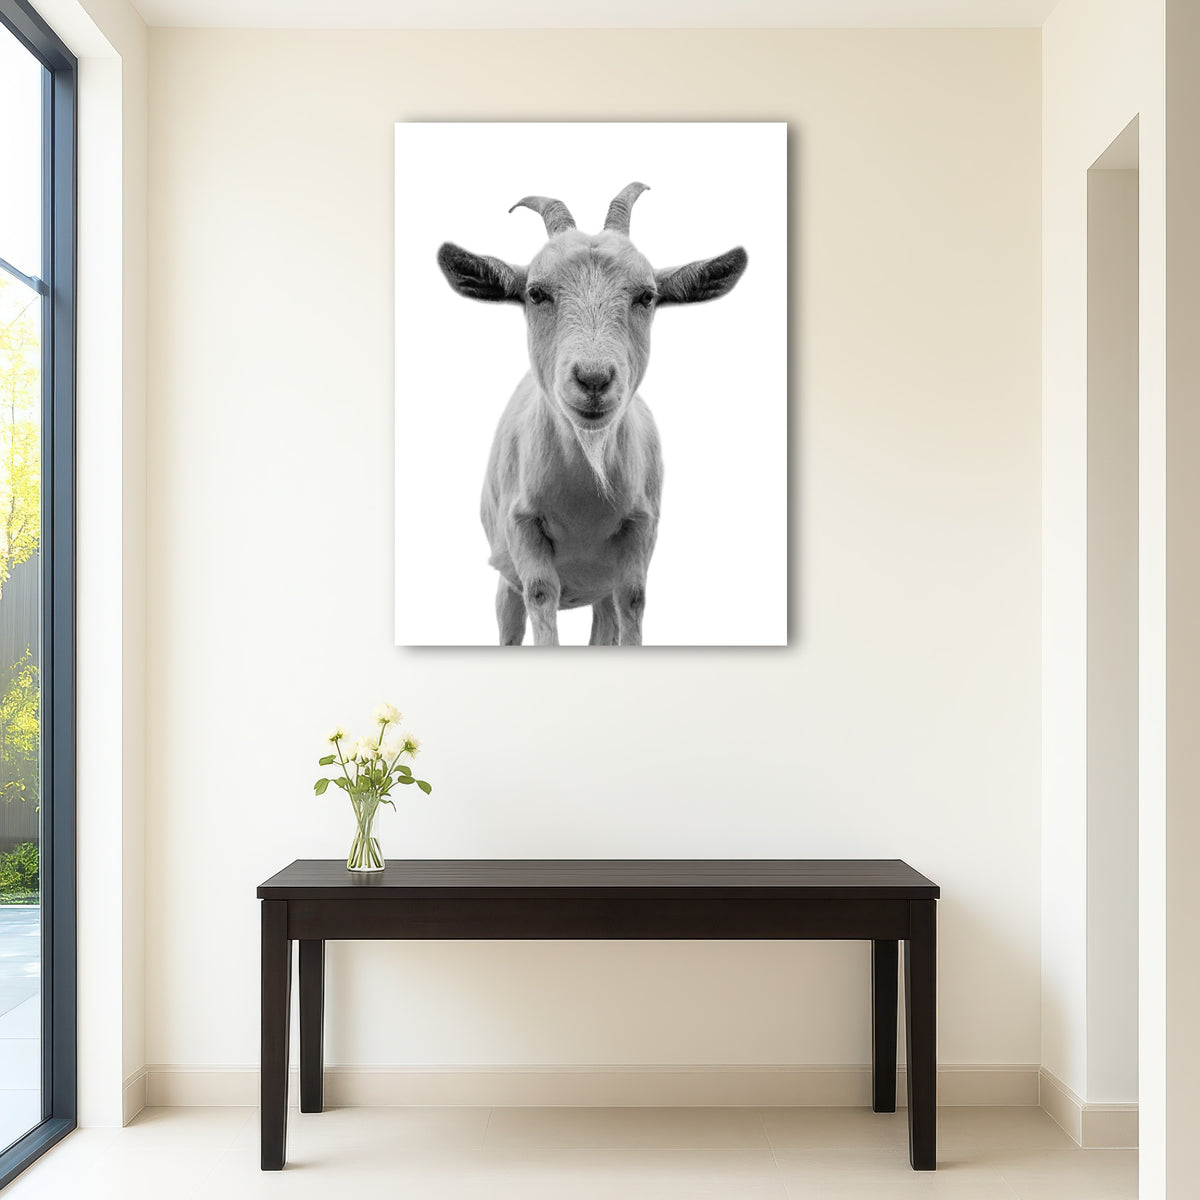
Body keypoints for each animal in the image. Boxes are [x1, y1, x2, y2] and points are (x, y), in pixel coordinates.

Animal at [437, 183, 747, 646]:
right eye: (536, 293)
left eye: (647, 296)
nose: (594, 378)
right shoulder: (523, 527)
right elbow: (541, 593)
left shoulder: (640, 529)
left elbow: (633, 599)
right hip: (505, 581)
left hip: (599, 589)